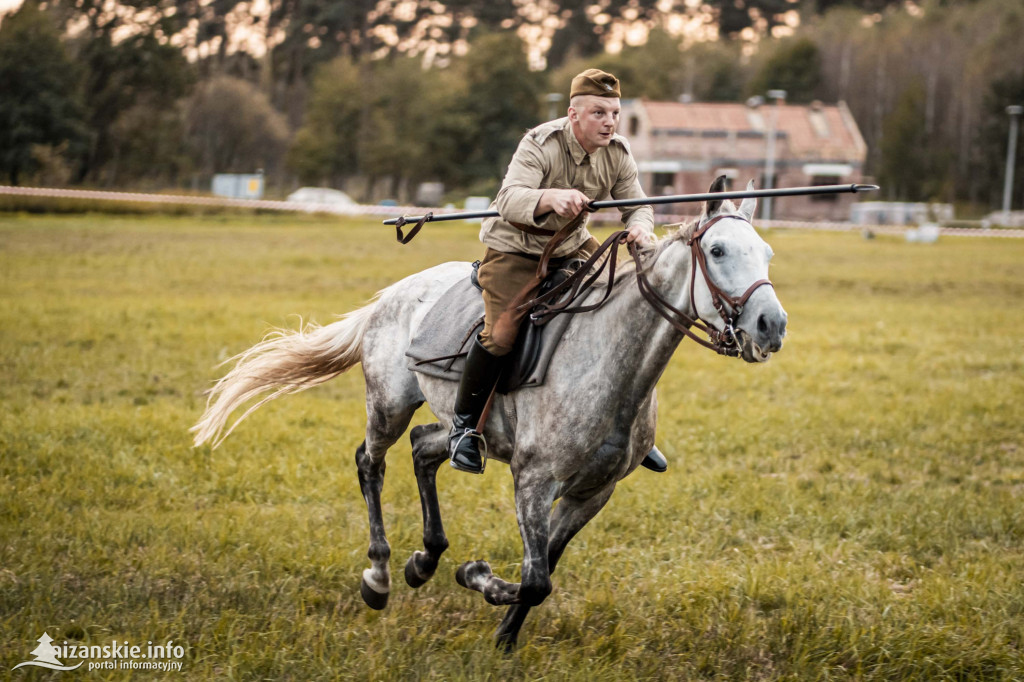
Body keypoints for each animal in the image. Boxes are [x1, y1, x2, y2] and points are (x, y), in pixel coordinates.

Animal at [190, 178, 782, 647]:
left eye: (768, 253)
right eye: (719, 250)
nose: (771, 325)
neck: (612, 361)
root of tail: (392, 294)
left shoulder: (593, 493)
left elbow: (544, 571)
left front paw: (504, 636)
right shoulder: (534, 481)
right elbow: (536, 577)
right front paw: (477, 576)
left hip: (463, 426)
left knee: (427, 448)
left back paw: (424, 560)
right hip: (388, 402)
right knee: (370, 462)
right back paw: (380, 575)